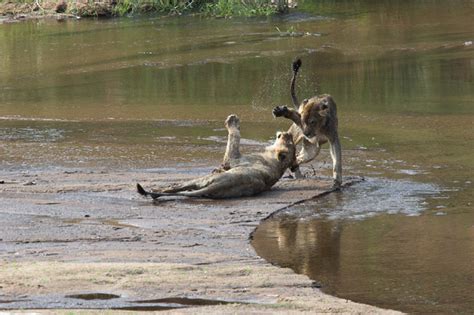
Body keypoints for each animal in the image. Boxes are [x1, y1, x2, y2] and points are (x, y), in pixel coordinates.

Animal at [137, 115, 296, 200]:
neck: (275, 161)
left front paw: (232, 121)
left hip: (204, 180)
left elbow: (234, 136)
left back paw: (161, 189)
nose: (288, 133)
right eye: (291, 141)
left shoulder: (232, 158)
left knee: (180, 187)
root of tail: (222, 184)